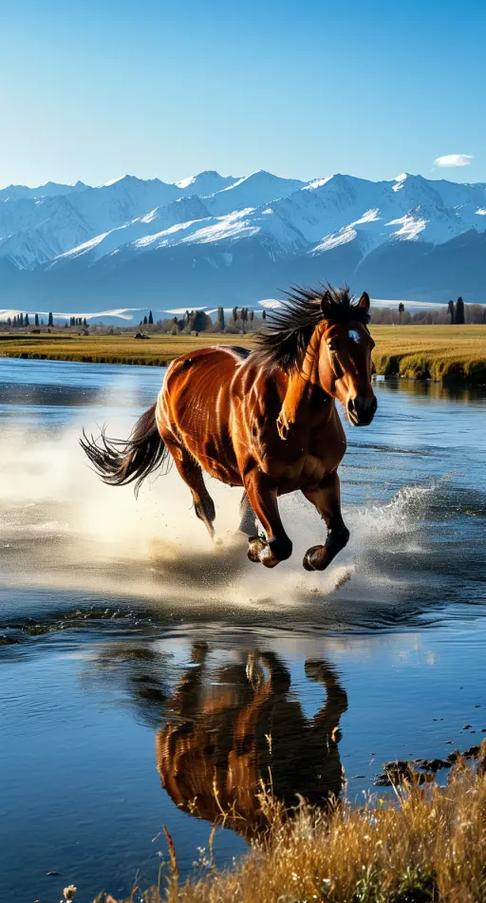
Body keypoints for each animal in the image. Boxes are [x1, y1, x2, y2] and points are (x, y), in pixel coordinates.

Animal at [81, 285, 377, 571]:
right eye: (333, 344)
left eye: (370, 343)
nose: (362, 406)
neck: (294, 425)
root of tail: (173, 371)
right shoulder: (259, 480)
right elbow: (280, 544)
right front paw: (258, 549)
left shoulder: (323, 480)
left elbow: (339, 535)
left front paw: (312, 557)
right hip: (182, 456)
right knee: (204, 507)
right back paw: (220, 545)